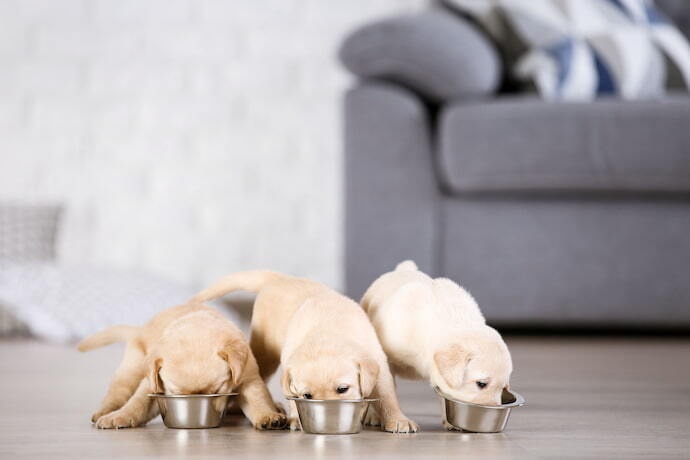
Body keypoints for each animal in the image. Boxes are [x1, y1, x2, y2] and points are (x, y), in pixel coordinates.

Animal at [78, 304, 284, 430]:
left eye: (217, 390)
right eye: (177, 394)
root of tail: (139, 329)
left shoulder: (248, 377)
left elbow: (258, 399)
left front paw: (268, 416)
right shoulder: (153, 385)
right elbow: (138, 403)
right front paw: (119, 416)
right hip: (131, 369)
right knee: (117, 393)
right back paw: (106, 411)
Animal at [188, 272, 416, 434]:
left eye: (343, 389)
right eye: (307, 396)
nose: (330, 416)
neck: (328, 331)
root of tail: (281, 278)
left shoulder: (379, 365)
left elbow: (387, 396)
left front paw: (398, 420)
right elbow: (292, 398)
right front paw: (296, 418)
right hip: (265, 352)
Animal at [360, 260, 510, 426]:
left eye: (503, 388)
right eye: (481, 384)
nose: (493, 410)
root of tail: (403, 269)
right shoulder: (387, 358)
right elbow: (385, 390)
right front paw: (397, 419)